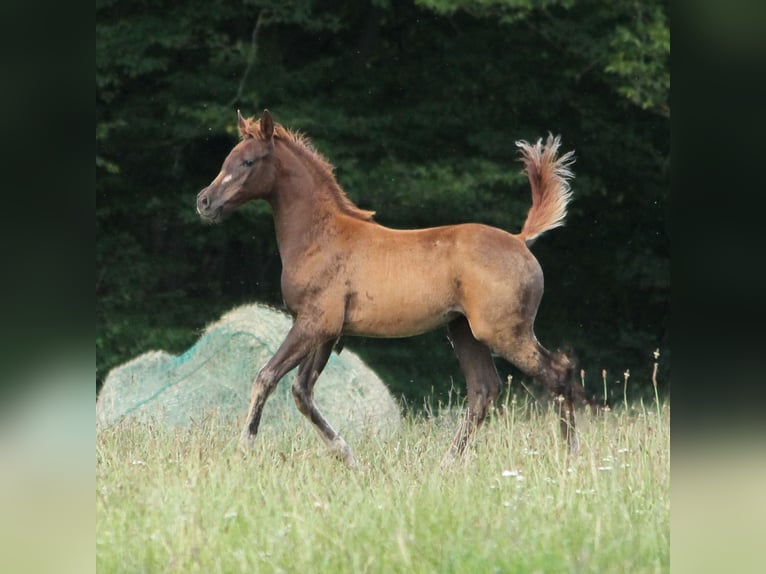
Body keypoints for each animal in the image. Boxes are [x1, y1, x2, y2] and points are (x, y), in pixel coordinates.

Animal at [198, 109, 588, 468]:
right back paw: (446, 464)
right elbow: (301, 391)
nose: (204, 202)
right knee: (483, 391)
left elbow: (266, 377)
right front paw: (348, 456)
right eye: (228, 158)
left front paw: (244, 447)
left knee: (558, 373)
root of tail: (521, 240)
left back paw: (571, 457)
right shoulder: (326, 331)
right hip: (464, 331)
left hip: (504, 332)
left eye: (248, 161)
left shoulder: (313, 324)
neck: (321, 236)